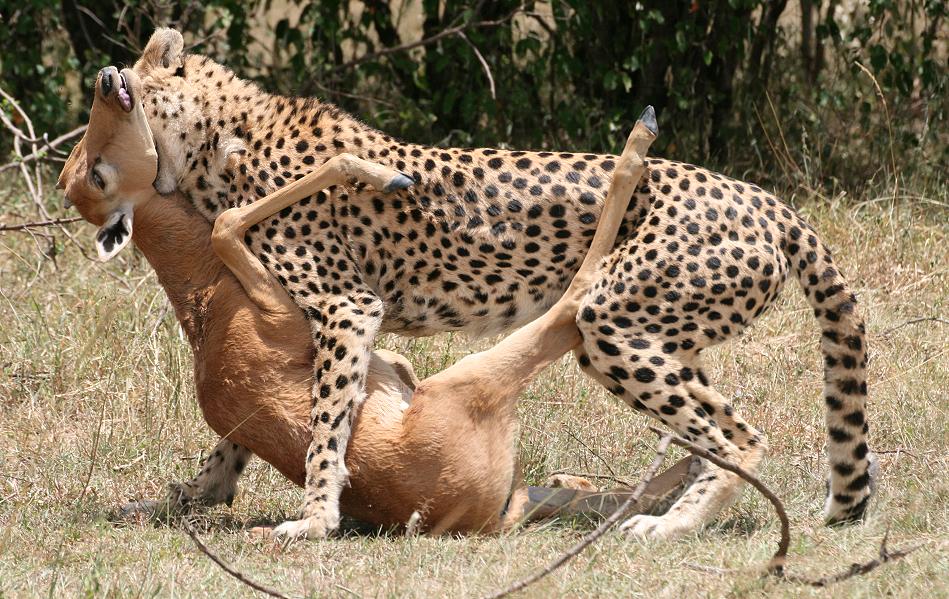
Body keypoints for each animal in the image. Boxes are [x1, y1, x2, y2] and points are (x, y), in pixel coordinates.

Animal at [103, 28, 872, 540]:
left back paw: (670, 526)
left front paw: (316, 516)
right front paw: (191, 494)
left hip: (613, 324)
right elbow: (243, 432)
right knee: (708, 426)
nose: (109, 75)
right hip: (663, 332)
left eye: (132, 82)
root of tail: (762, 197)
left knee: (738, 435)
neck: (214, 140)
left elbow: (325, 424)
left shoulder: (347, 308)